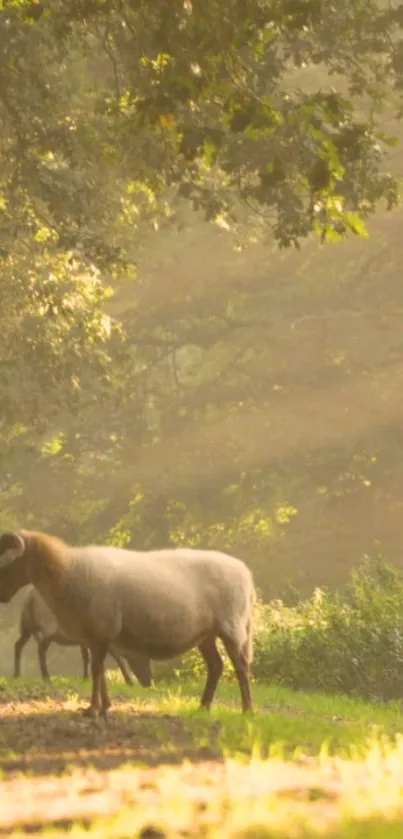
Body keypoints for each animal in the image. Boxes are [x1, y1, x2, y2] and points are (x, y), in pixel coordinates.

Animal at [13, 584, 153, 688]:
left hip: (27, 624)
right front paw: (129, 681)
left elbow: (86, 657)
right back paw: (46, 678)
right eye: (145, 660)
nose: (149, 683)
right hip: (48, 626)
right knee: (41, 648)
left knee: (18, 645)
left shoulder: (84, 641)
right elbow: (115, 657)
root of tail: (30, 597)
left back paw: (17, 674)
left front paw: (86, 678)